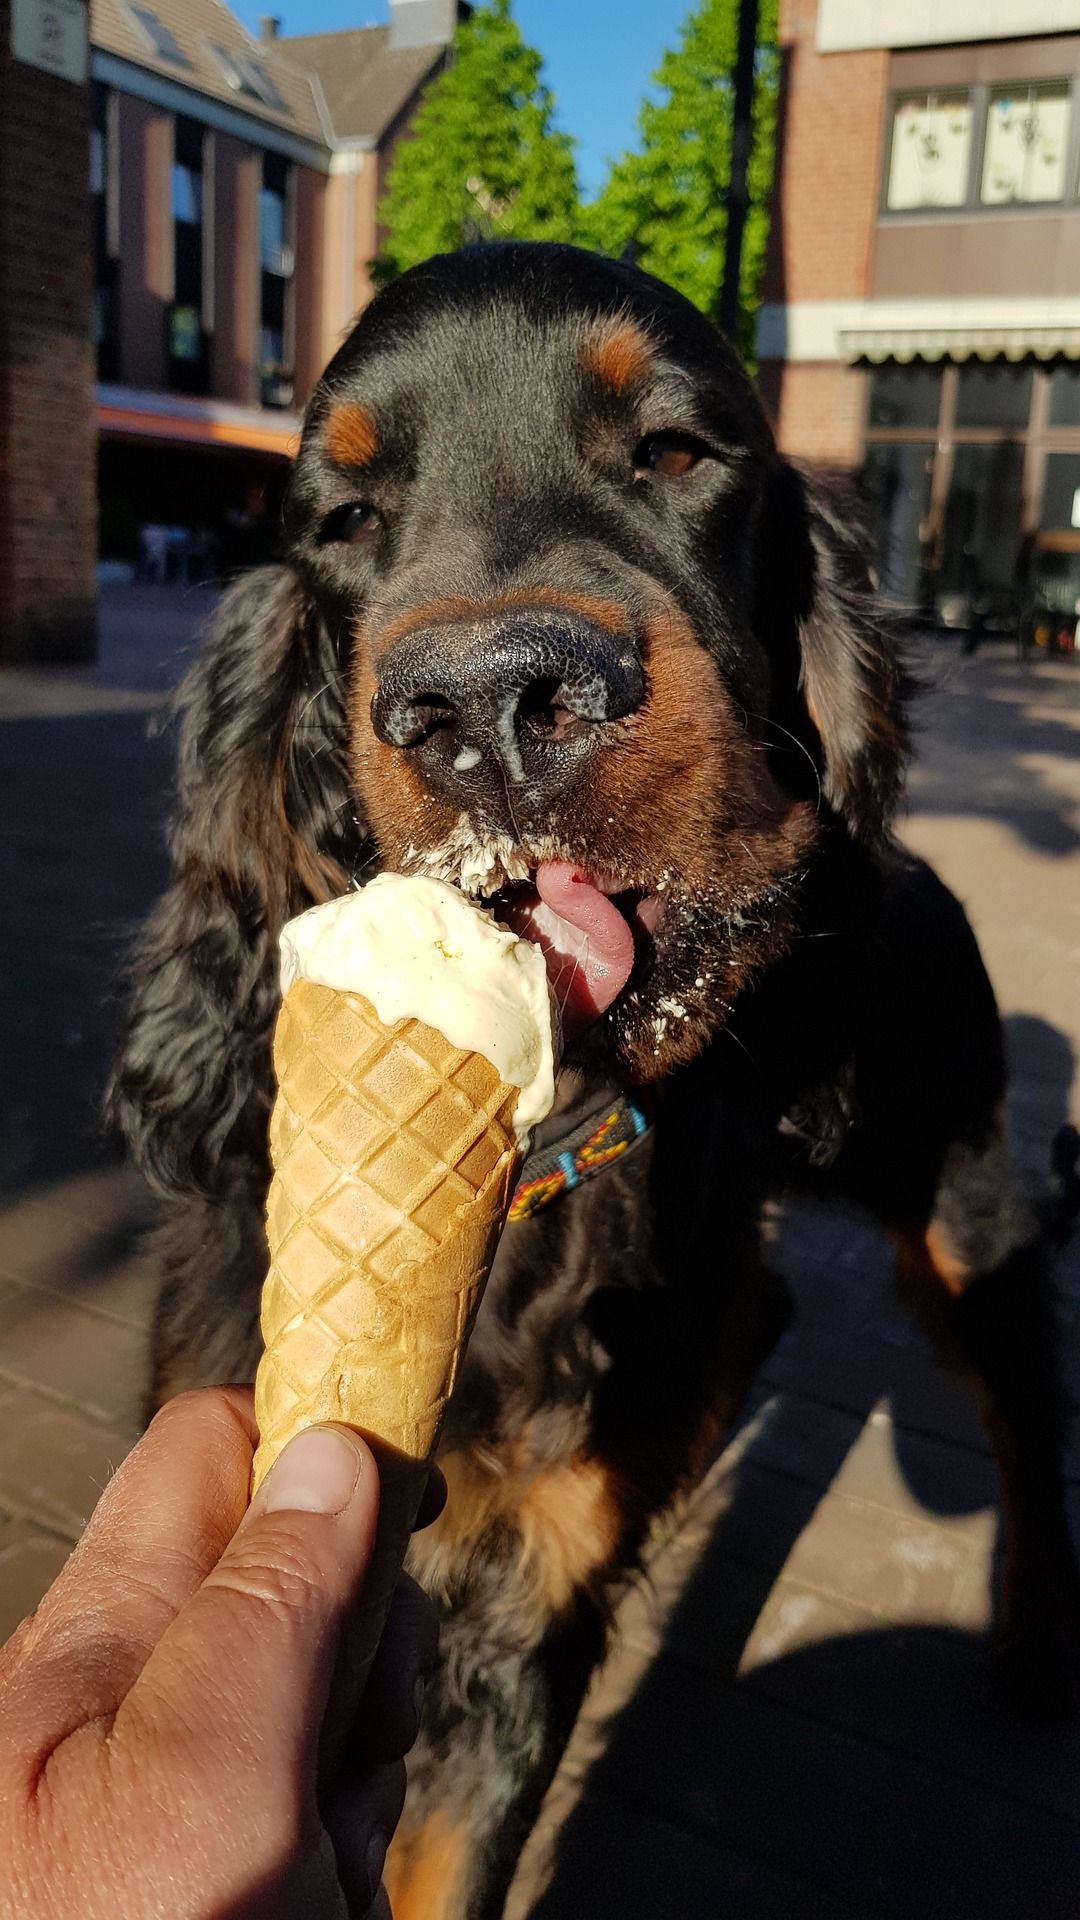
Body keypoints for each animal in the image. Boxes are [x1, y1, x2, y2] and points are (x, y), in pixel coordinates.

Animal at [111, 243, 1076, 1920]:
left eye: (680, 454)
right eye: (339, 519)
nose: (496, 702)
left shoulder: (522, 1627)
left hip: (965, 1196)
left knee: (1026, 1404)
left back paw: (1030, 1636)